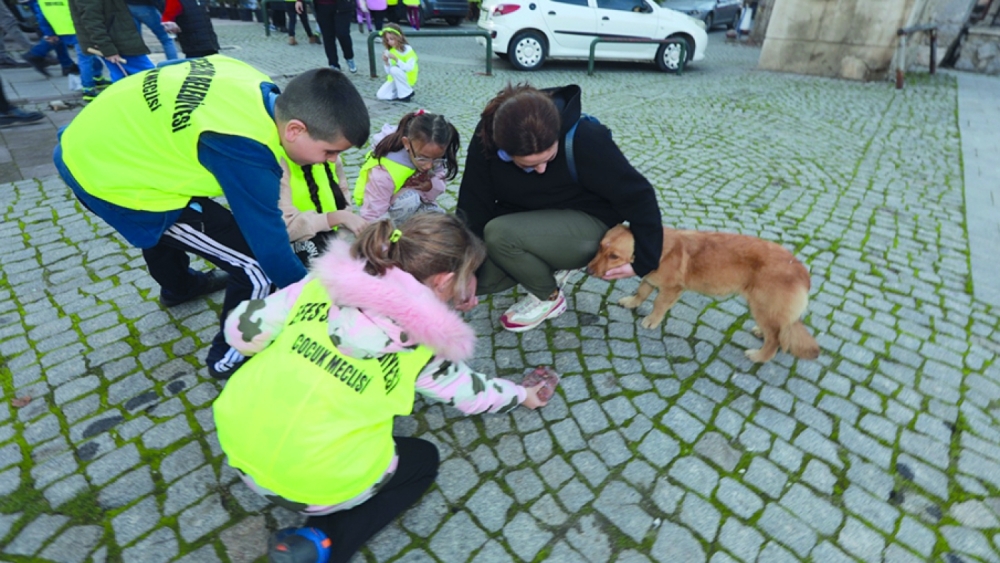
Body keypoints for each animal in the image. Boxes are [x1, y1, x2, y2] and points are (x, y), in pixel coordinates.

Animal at [588, 225, 816, 366]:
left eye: (614, 256)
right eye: (599, 247)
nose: (588, 270)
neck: (659, 249)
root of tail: (802, 273)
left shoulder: (672, 289)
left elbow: (658, 304)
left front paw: (652, 320)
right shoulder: (650, 280)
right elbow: (642, 291)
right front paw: (631, 302)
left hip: (760, 306)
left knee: (775, 339)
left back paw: (759, 356)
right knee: (778, 329)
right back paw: (760, 332)